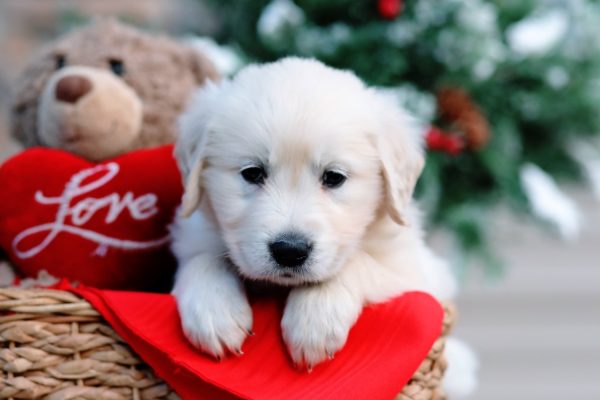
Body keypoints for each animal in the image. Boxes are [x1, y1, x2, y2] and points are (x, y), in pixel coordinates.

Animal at [171, 57, 458, 370]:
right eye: (252, 173)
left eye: (334, 177)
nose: (289, 251)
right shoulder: (193, 238)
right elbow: (204, 259)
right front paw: (214, 312)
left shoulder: (418, 273)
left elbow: (359, 262)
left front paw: (315, 321)